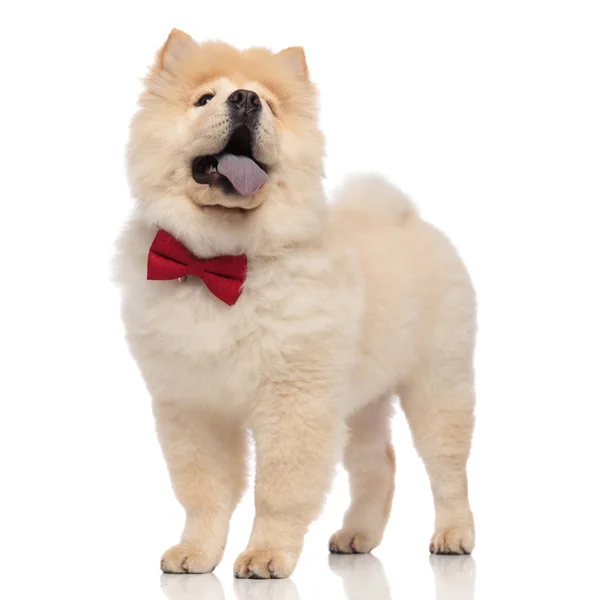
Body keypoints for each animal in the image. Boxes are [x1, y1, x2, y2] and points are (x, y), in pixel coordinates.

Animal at [115, 30, 476, 580]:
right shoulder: (192, 404)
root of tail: (409, 219)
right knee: (380, 464)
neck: (222, 262)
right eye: (204, 99)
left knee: (448, 469)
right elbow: (204, 491)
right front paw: (196, 553)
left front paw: (265, 556)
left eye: (270, 104)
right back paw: (357, 536)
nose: (246, 98)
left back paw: (454, 536)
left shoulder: (296, 399)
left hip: (438, 384)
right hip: (361, 400)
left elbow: (278, 490)